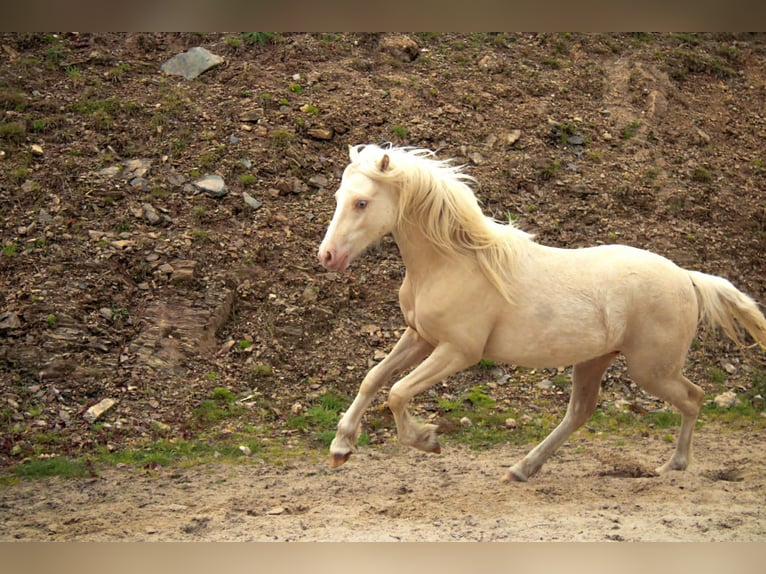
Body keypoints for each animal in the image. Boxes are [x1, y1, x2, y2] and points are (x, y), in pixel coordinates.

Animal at [317, 143, 766, 482]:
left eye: (362, 202)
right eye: (338, 199)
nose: (327, 256)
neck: (453, 262)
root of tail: (687, 277)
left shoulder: (458, 351)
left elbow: (396, 391)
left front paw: (428, 439)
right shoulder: (420, 336)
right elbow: (374, 378)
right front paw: (340, 448)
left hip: (652, 369)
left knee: (693, 398)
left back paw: (673, 465)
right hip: (594, 360)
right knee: (580, 413)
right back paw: (521, 469)